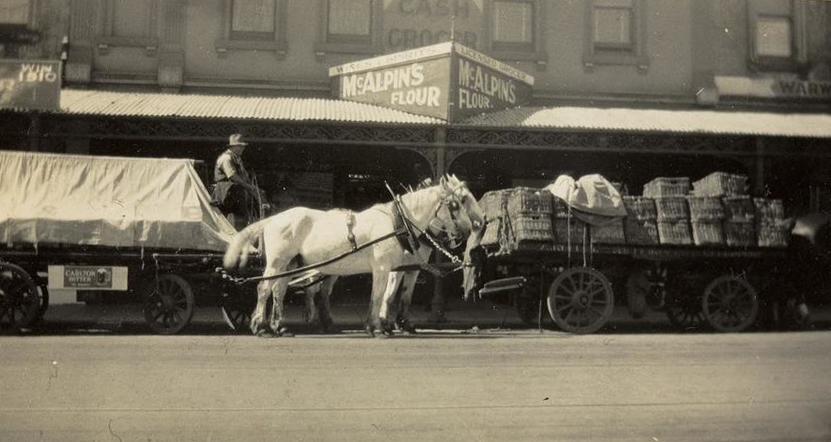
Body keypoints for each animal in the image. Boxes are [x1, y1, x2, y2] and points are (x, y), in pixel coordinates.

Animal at [224, 174, 484, 336]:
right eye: (458, 203)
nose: (475, 226)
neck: (398, 222)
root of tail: (271, 219)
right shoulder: (384, 267)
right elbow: (380, 295)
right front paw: (378, 327)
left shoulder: (401, 268)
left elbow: (390, 295)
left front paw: (384, 325)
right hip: (278, 262)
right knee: (264, 289)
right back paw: (261, 327)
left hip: (290, 264)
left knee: (279, 290)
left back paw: (280, 327)